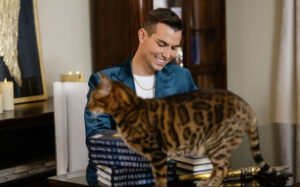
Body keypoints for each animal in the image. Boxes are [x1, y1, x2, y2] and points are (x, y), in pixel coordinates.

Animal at [88, 72, 292, 186]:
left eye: (93, 98)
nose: (88, 107)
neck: (130, 108)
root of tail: (247, 107)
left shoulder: (157, 154)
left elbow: (160, 179)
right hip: (211, 145)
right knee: (221, 166)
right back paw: (207, 182)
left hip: (216, 142)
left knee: (224, 167)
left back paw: (210, 184)